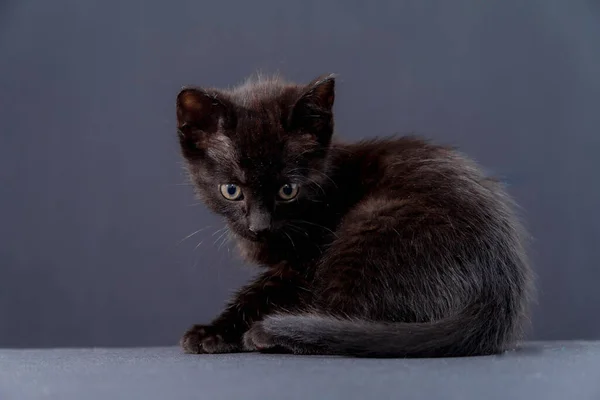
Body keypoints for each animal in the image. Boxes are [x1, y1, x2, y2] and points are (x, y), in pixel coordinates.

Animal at [175, 74, 536, 356]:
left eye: (288, 190)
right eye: (231, 190)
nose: (259, 226)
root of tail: (496, 296)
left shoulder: (305, 265)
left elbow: (264, 292)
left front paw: (211, 333)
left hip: (371, 223)